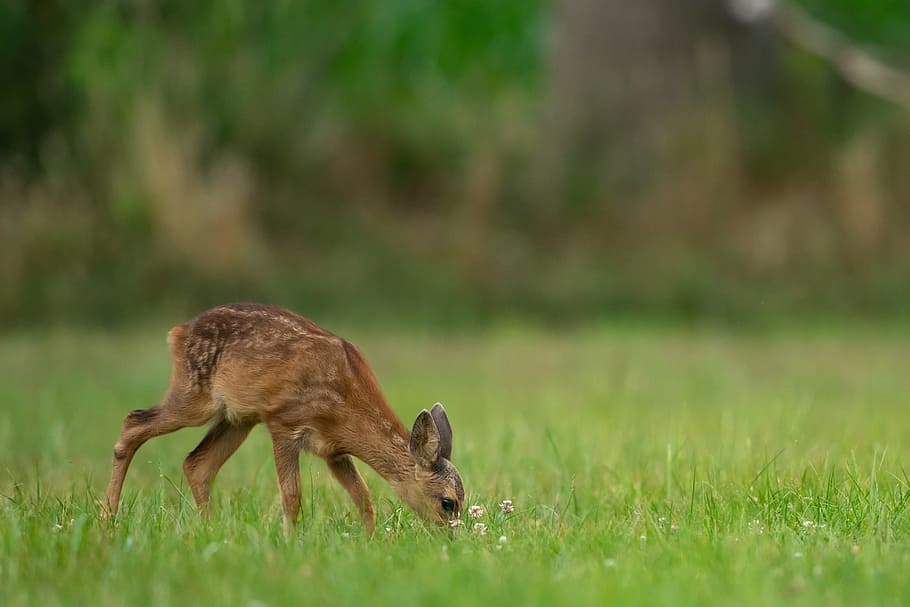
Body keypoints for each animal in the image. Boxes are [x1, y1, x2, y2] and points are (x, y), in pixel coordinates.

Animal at [104, 303, 465, 532]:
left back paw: (210, 530)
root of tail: (178, 332)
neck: (348, 404)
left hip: (238, 418)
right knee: (134, 421)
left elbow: (364, 498)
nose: (450, 538)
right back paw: (108, 517)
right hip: (196, 398)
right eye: (448, 503)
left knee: (196, 463)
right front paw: (288, 542)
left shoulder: (333, 451)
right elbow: (292, 496)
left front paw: (371, 542)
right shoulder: (283, 422)